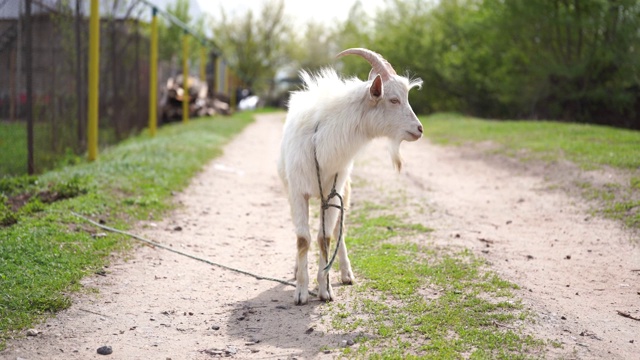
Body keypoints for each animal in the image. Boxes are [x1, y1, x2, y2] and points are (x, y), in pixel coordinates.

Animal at [276, 47, 422, 304]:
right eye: (394, 99)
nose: (419, 129)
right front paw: (301, 292)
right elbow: (303, 239)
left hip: (344, 191)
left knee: (338, 233)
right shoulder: (297, 192)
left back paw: (346, 273)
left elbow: (325, 238)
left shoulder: (332, 193)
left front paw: (325, 289)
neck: (322, 139)